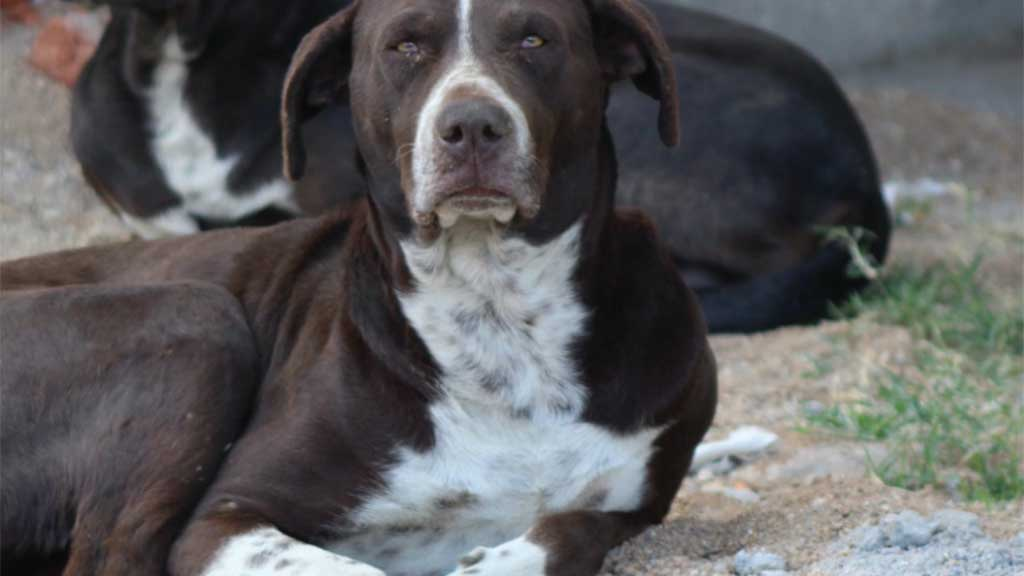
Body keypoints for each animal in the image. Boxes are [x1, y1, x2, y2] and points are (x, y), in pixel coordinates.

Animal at [0, 1, 716, 573]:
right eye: (405, 46)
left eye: (535, 39)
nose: (472, 126)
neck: (495, 311)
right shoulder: (224, 515)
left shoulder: (632, 504)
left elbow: (566, 531)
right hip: (196, 315)